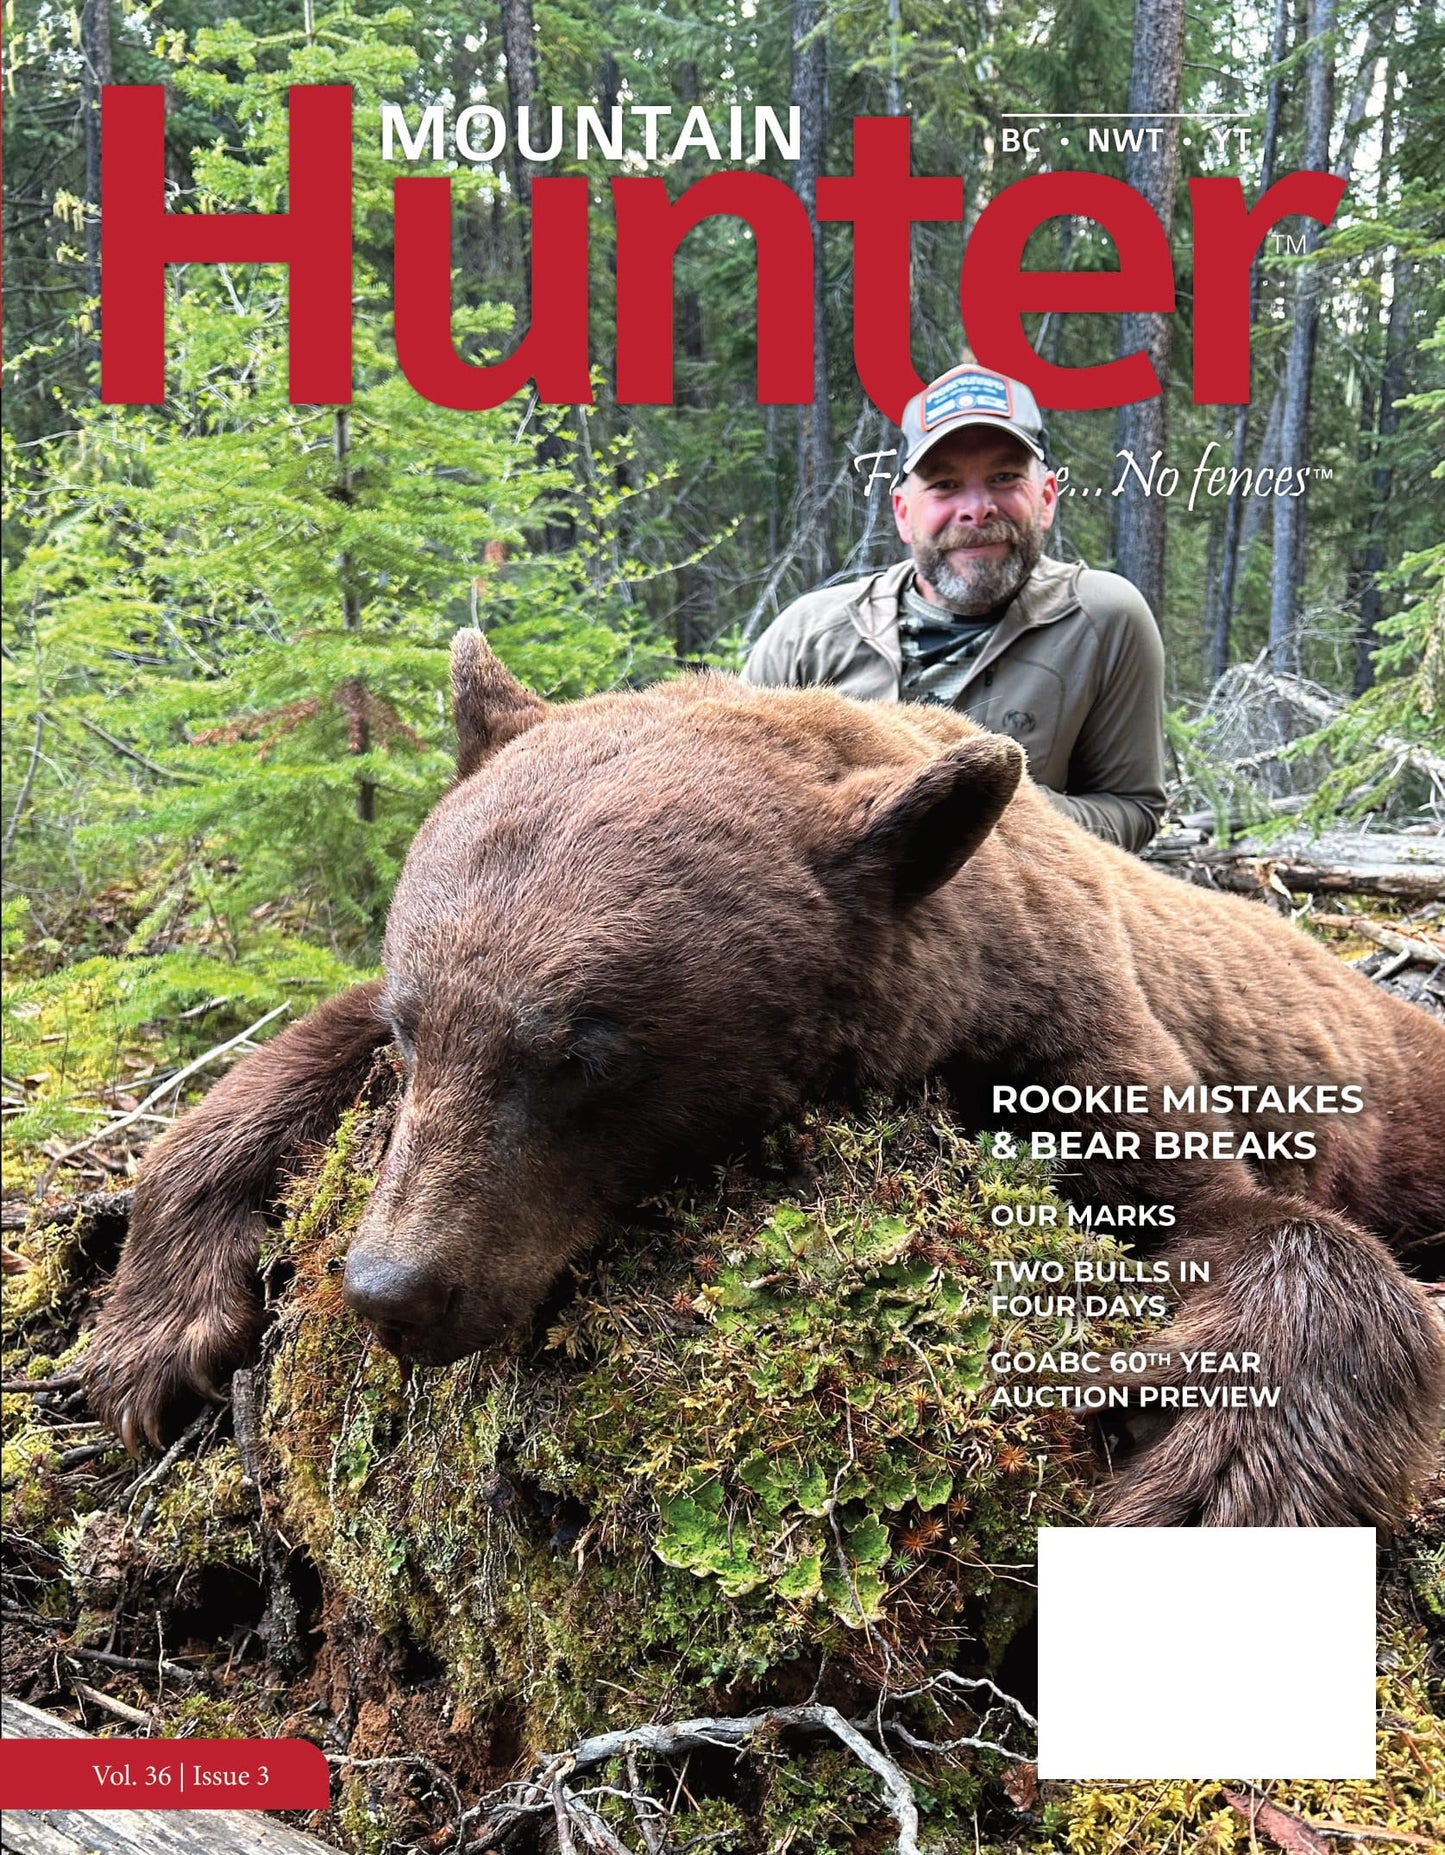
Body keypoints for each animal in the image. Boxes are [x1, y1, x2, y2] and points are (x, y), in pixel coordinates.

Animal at [85, 632, 1445, 1528]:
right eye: (422, 1034)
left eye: (584, 1055)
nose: (393, 1289)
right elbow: (287, 1063)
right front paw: (149, 1334)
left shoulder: (1066, 1039)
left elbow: (1241, 1221)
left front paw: (1214, 1486)